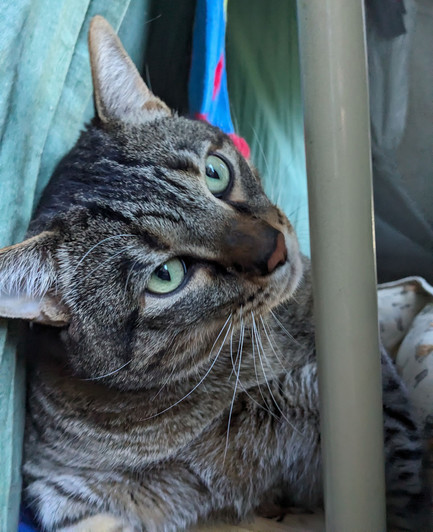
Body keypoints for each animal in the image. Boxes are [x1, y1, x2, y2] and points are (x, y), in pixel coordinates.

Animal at [0, 14, 426, 528]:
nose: (276, 249)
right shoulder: (64, 495)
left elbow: (401, 474)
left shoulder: (373, 393)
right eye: (166, 275)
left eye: (216, 173)